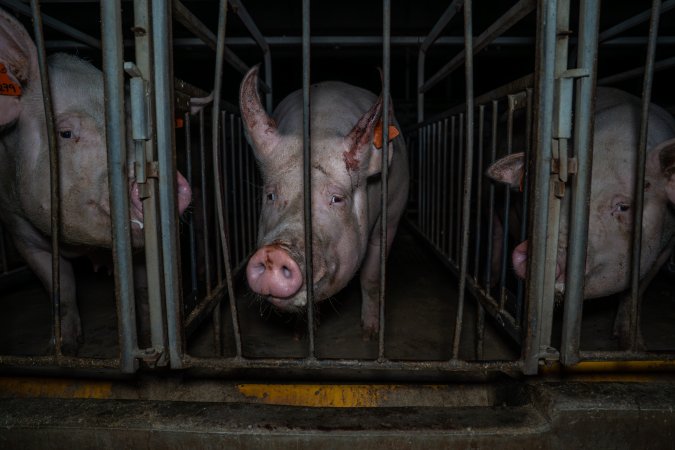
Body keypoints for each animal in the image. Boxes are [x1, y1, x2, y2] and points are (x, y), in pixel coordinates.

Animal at [0, 8, 193, 354]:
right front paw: (64, 350)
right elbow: (60, 289)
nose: (170, 185)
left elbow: (143, 290)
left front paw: (147, 340)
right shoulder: (17, 224)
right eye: (65, 133)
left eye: (133, 127)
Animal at [240, 65, 410, 336]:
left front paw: (369, 333)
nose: (274, 253)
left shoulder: (391, 215)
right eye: (271, 195)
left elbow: (371, 277)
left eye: (336, 198)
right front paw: (301, 334)